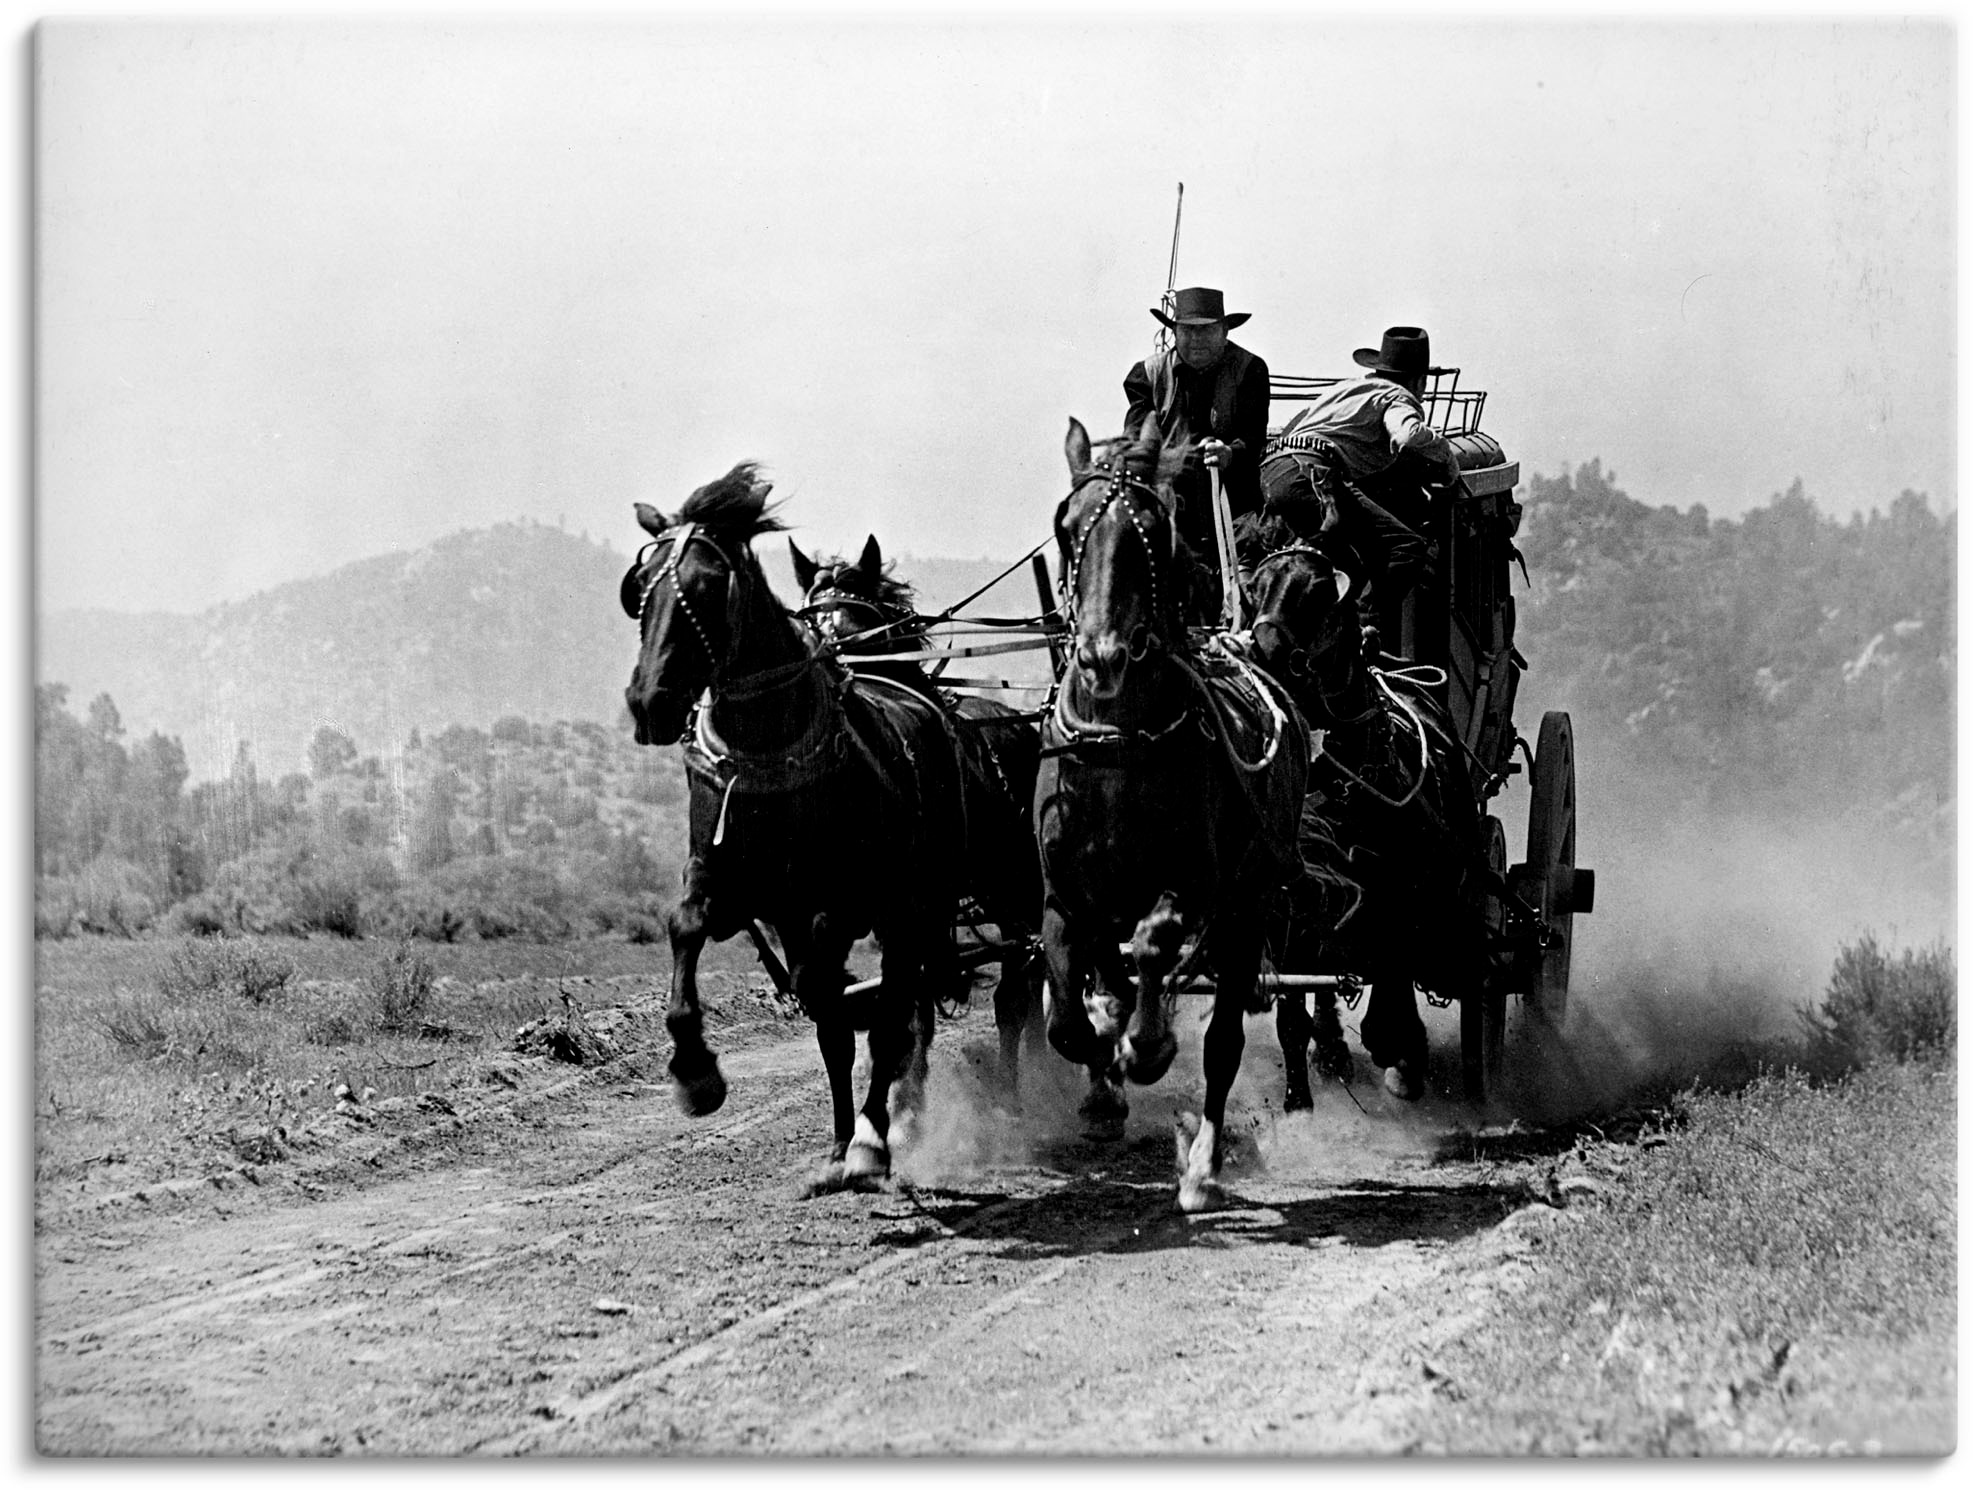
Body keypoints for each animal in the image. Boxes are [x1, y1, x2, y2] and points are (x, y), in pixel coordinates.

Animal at [619, 465, 966, 1192]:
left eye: (706, 585)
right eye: (639, 587)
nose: (649, 702)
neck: (768, 750)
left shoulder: (842, 901)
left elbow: (852, 999)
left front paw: (867, 1136)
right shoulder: (737, 887)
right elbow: (687, 927)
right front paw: (695, 1072)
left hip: (916, 903)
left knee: (898, 1010)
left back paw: (875, 1134)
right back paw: (846, 1141)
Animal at [785, 536, 1049, 1097]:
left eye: (857, 625)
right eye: (812, 625)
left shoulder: (917, 904)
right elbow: (913, 1008)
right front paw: (910, 1092)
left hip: (1016, 881)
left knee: (1021, 984)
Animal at [1041, 416, 1317, 1215]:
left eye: (1152, 534)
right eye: (1066, 526)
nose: (1101, 656)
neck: (1118, 746)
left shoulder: (1197, 889)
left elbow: (1155, 943)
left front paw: (1147, 1046)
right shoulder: (1065, 897)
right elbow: (1068, 1013)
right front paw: (1102, 1084)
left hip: (1250, 905)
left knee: (1223, 1040)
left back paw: (1201, 1164)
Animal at [1239, 495, 1483, 1105]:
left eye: (1321, 589)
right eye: (1259, 587)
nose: (1266, 649)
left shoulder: (1402, 890)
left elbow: (1394, 972)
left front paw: (1402, 1052)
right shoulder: (1295, 898)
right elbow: (1293, 1012)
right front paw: (1299, 1097)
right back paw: (1333, 1050)